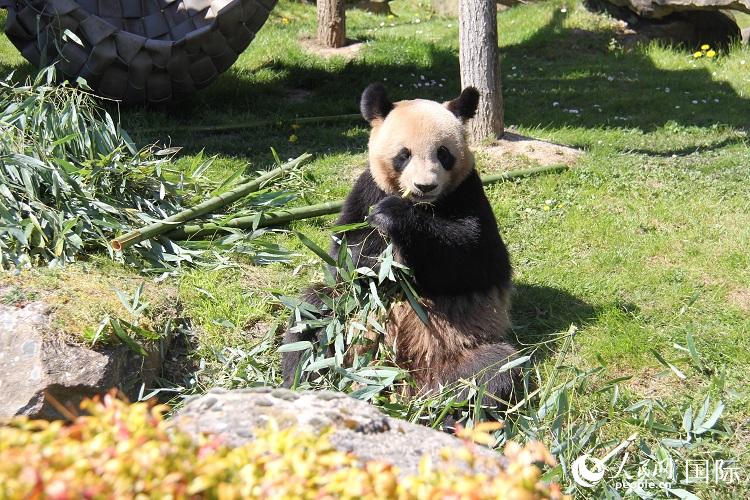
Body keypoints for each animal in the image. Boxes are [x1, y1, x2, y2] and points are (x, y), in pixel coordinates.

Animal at [282, 84, 524, 404]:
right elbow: (344, 254)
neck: (424, 205)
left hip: (459, 355)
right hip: (338, 324)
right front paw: (381, 258)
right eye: (403, 155)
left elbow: (477, 259)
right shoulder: (368, 188)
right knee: (311, 317)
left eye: (443, 153)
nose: (425, 186)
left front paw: (396, 218)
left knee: (493, 372)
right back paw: (303, 384)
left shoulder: (468, 191)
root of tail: (401, 380)